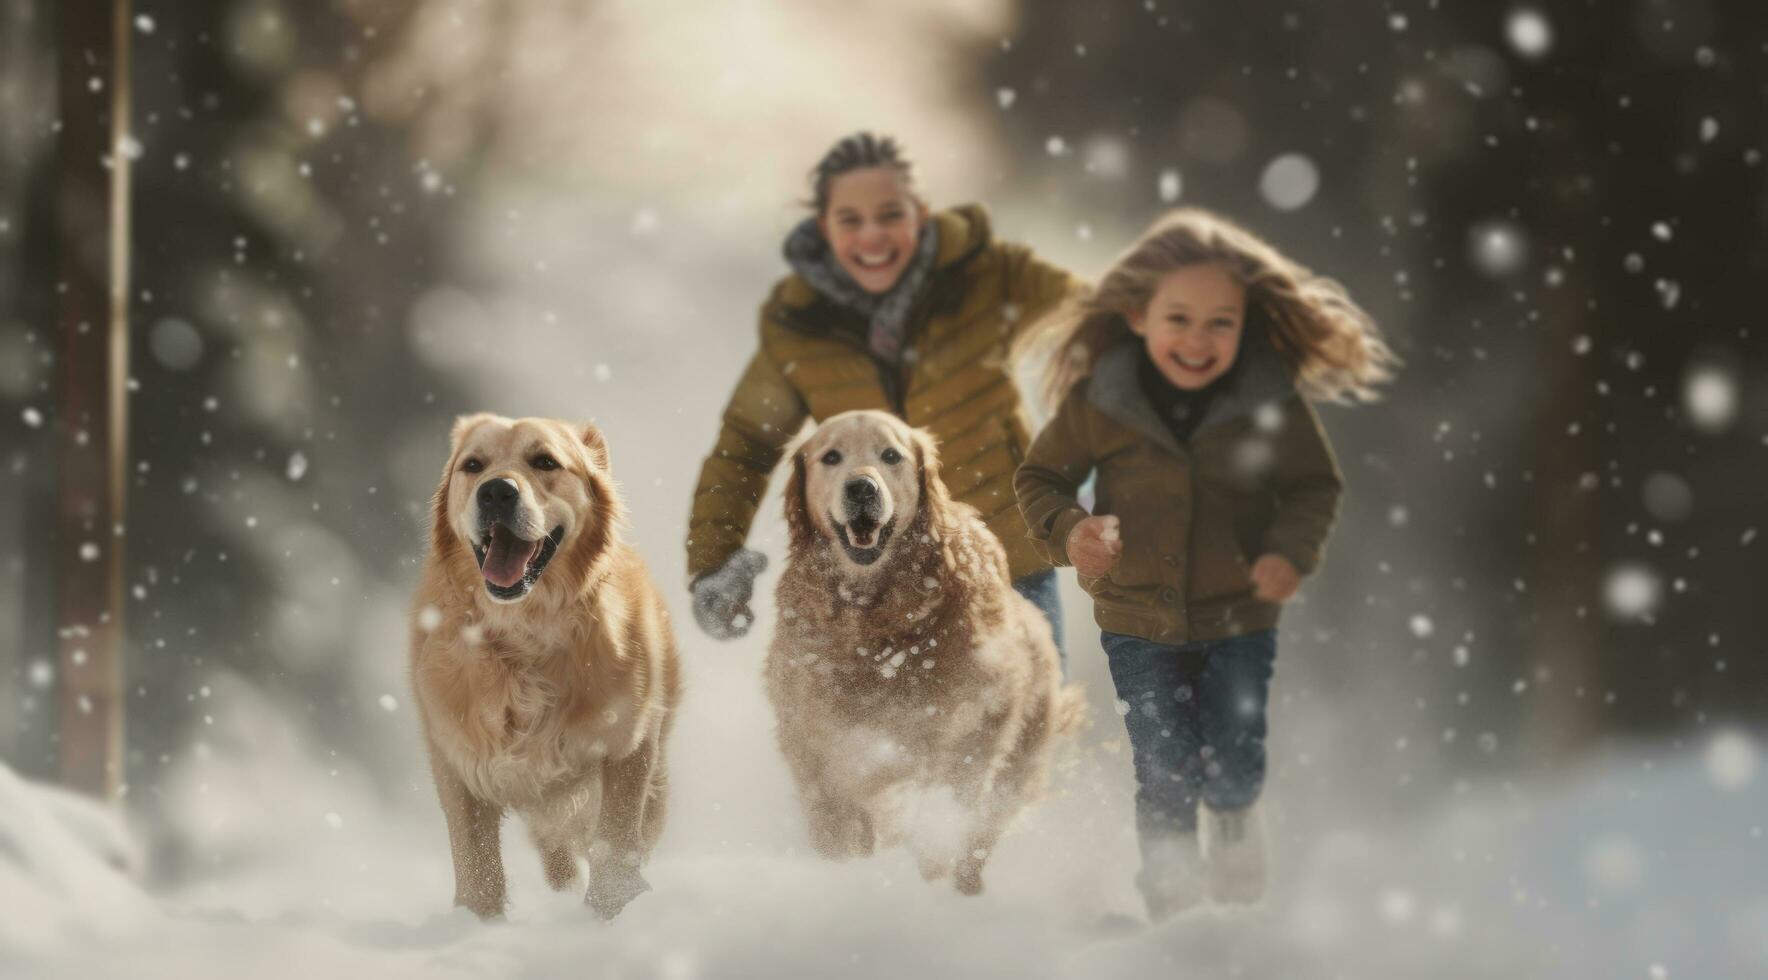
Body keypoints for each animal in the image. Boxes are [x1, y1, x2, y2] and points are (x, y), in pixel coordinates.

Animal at [410, 412, 678, 912]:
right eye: (473, 465)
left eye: (545, 462)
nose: (497, 491)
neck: (524, 636)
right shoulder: (456, 761)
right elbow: (476, 863)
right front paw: (478, 921)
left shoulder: (627, 745)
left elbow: (615, 840)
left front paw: (611, 911)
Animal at [767, 408, 1082, 888]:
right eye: (831, 456)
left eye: (891, 455)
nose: (862, 487)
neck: (874, 622)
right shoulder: (813, 742)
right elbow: (835, 827)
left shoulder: (968, 725)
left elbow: (939, 813)